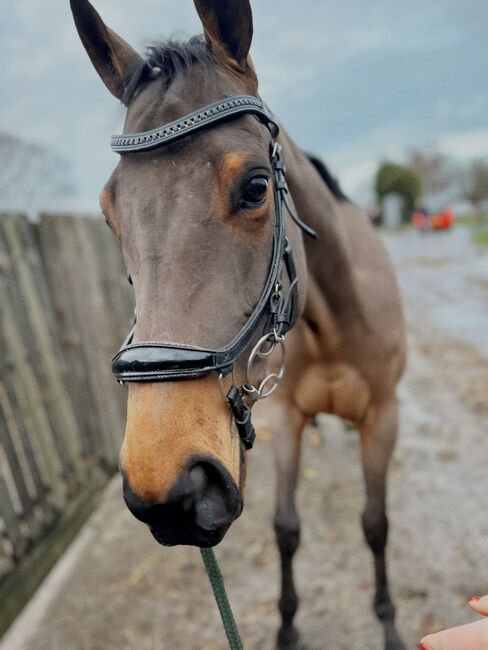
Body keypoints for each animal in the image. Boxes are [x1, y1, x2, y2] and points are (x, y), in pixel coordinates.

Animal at [70, 2, 406, 644]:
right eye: (108, 214)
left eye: (256, 187)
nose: (169, 492)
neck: (333, 324)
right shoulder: (285, 419)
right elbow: (285, 527)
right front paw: (287, 627)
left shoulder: (383, 418)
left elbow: (376, 523)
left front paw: (388, 623)